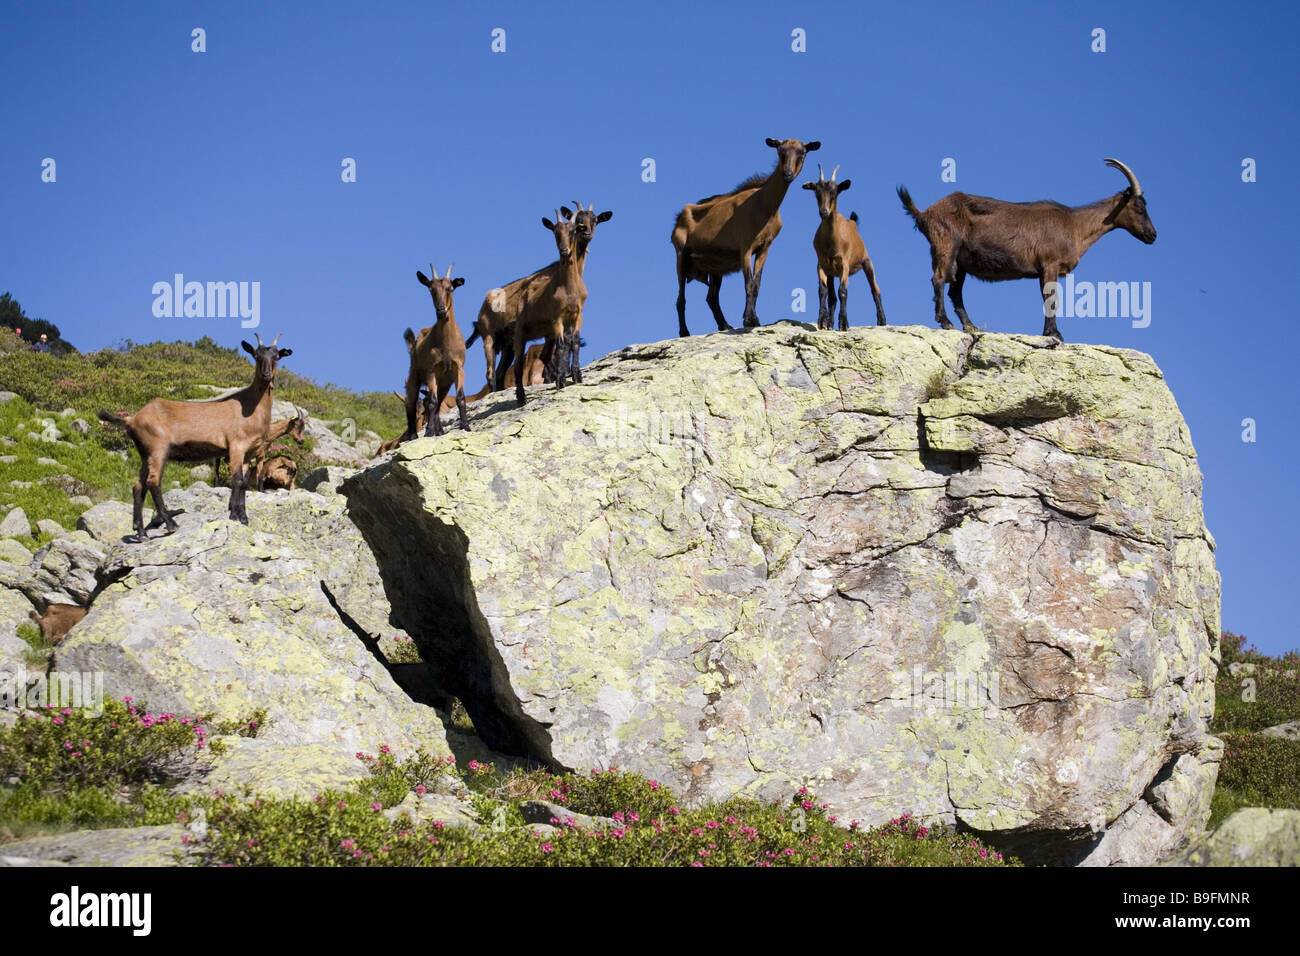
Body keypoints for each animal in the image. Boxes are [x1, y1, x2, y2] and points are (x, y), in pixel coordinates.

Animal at [98, 332, 292, 538]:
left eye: (276, 356)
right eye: (256, 355)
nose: (266, 375)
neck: (250, 406)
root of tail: (132, 419)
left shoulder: (249, 452)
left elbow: (244, 483)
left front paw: (243, 517)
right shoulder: (236, 446)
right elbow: (237, 480)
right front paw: (235, 516)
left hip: (145, 453)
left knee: (138, 486)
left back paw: (141, 531)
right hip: (158, 448)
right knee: (153, 482)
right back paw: (171, 524)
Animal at [405, 264, 473, 439]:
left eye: (450, 289)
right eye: (431, 289)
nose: (441, 310)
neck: (446, 345)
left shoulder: (458, 368)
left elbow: (460, 398)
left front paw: (466, 426)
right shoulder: (432, 371)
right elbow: (432, 402)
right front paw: (429, 432)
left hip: (444, 383)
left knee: (438, 402)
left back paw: (440, 431)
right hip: (414, 376)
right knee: (411, 403)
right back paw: (414, 435)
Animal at [676, 138, 816, 335]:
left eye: (802, 153)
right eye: (780, 151)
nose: (787, 174)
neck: (765, 205)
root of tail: (679, 216)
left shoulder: (764, 247)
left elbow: (756, 284)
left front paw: (753, 319)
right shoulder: (745, 247)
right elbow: (748, 283)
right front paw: (749, 319)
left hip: (715, 266)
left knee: (711, 297)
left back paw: (724, 325)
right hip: (681, 255)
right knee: (681, 299)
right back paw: (684, 332)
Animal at [800, 164, 883, 329]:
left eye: (834, 193)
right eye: (817, 193)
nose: (824, 212)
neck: (831, 240)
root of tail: (853, 223)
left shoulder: (844, 264)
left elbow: (843, 291)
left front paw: (844, 323)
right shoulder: (822, 265)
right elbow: (823, 291)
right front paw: (822, 320)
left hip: (867, 262)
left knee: (875, 290)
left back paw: (882, 321)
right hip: (833, 273)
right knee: (832, 298)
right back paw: (830, 322)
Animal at [894, 155, 1159, 338]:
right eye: (1138, 206)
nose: (1152, 235)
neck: (1075, 224)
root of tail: (924, 213)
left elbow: (1047, 298)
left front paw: (1050, 333)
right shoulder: (1050, 264)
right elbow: (1051, 298)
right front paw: (1055, 335)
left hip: (960, 263)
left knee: (954, 292)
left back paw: (971, 326)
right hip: (945, 245)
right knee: (938, 279)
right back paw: (946, 322)